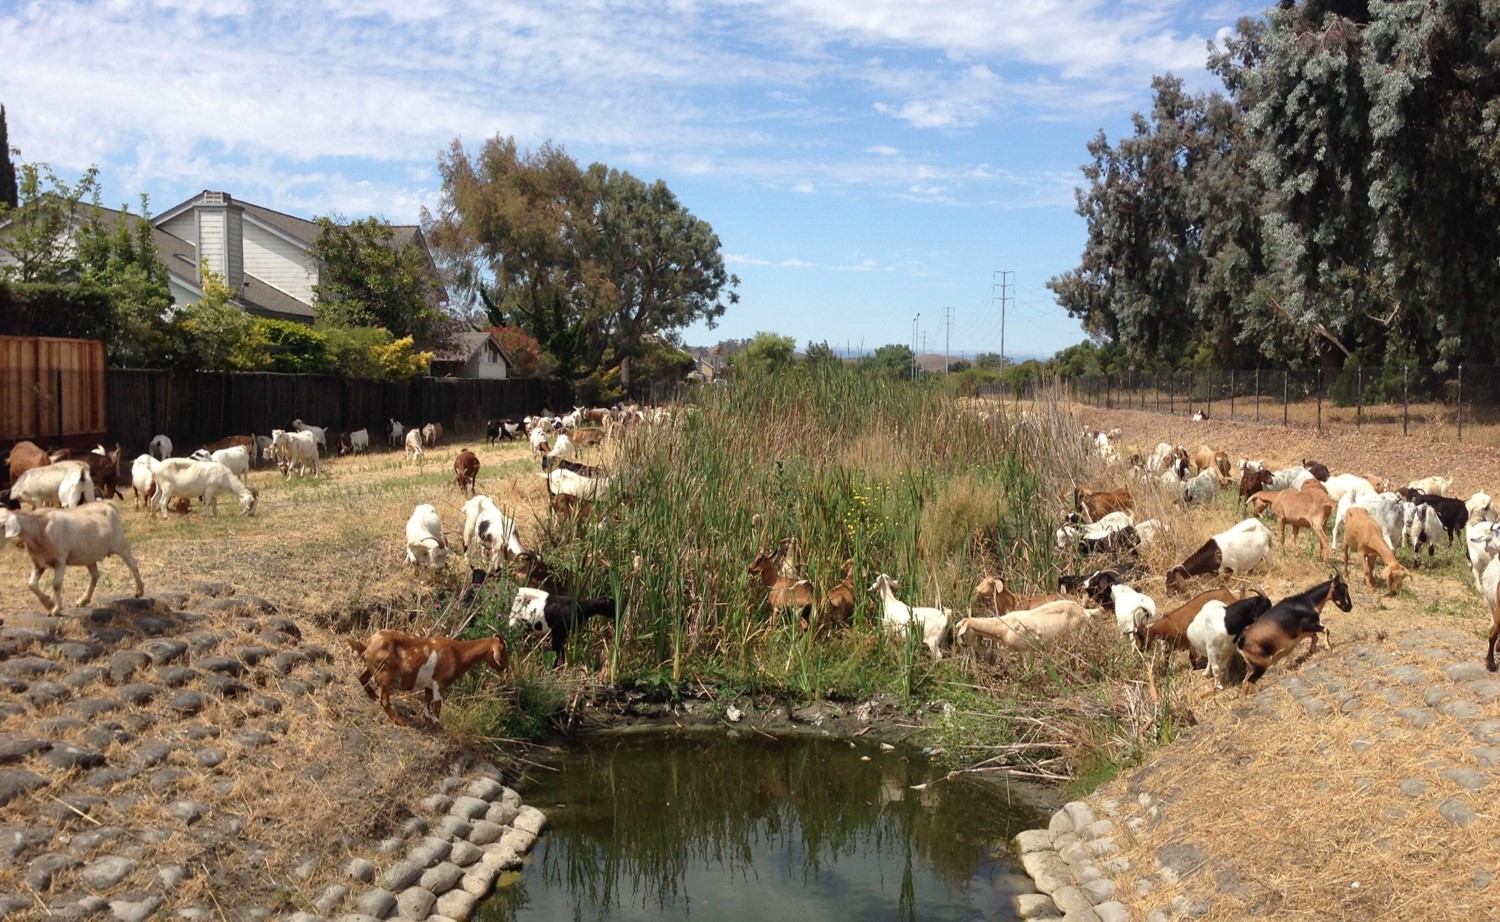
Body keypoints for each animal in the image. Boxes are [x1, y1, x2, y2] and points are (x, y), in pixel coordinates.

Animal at [0, 503, 145, 615]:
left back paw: (139, 591)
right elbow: (31, 584)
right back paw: (83, 600)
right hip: (89, 555)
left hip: (121, 543)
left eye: (2, 525)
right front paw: (48, 603)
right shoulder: (39, 563)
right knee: (94, 575)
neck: (40, 528)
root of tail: (107, 505)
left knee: (133, 564)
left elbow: (56, 585)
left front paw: (56, 609)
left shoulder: (60, 560)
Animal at [349, 630, 508, 725]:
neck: (458, 653)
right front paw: (437, 723)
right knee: (384, 700)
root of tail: (366, 645)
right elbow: (437, 705)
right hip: (384, 675)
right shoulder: (439, 683)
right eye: (503, 650)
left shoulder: (429, 685)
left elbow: (427, 699)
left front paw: (427, 717)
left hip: (374, 669)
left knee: (362, 678)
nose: (504, 666)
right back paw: (398, 721)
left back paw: (372, 695)